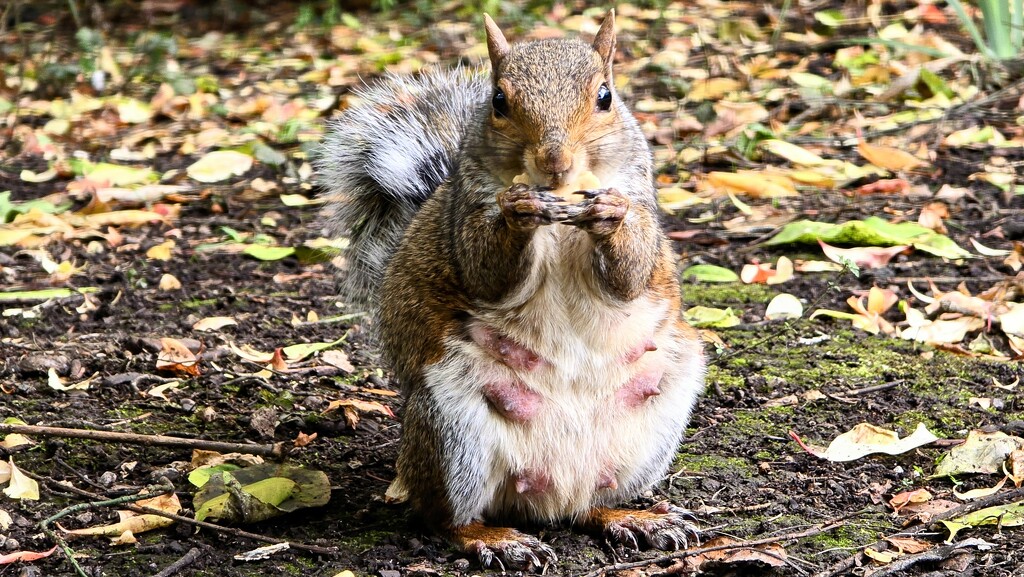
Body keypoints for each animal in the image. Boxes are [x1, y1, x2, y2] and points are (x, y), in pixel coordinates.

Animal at [317, 11, 704, 569]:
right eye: (499, 101)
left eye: (605, 96)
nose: (554, 162)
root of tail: (550, 496)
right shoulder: (467, 214)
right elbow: (487, 273)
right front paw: (519, 209)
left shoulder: (640, 195)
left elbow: (631, 274)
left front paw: (609, 215)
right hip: (452, 431)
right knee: (441, 517)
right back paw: (494, 539)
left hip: (658, 419)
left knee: (588, 506)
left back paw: (632, 517)